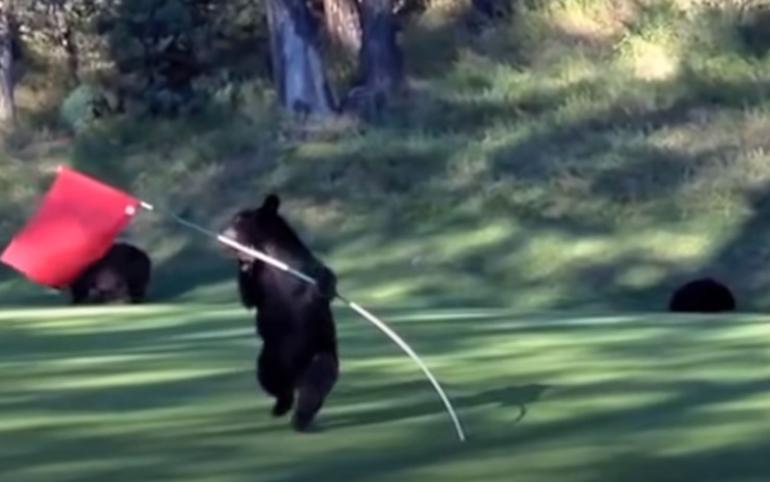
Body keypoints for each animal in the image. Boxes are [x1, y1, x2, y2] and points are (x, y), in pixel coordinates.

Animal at [221, 194, 339, 432]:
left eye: (238, 219)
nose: (223, 234)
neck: (272, 254)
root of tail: (296, 376)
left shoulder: (302, 267)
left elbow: (321, 275)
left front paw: (325, 286)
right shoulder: (262, 278)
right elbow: (250, 297)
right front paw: (246, 262)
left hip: (319, 352)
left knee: (317, 381)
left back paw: (301, 418)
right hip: (272, 355)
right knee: (270, 378)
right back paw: (282, 406)